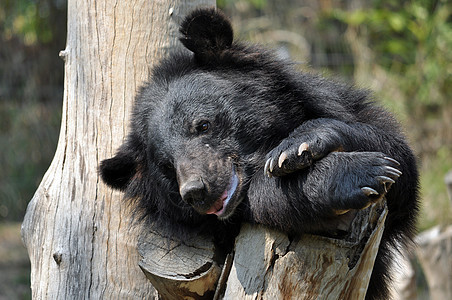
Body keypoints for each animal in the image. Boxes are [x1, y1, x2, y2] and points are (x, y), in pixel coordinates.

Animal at [100, 7, 418, 300]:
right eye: (167, 166)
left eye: (202, 125)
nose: (195, 192)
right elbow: (266, 196)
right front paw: (358, 174)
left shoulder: (337, 104)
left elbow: (399, 160)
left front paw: (296, 148)